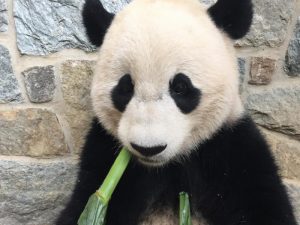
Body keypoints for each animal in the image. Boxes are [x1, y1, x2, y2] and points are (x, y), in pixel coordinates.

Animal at [55, 0, 298, 224]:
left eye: (180, 87)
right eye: (126, 88)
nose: (148, 148)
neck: (169, 165)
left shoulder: (230, 148)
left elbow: (262, 204)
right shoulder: (103, 151)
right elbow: (83, 203)